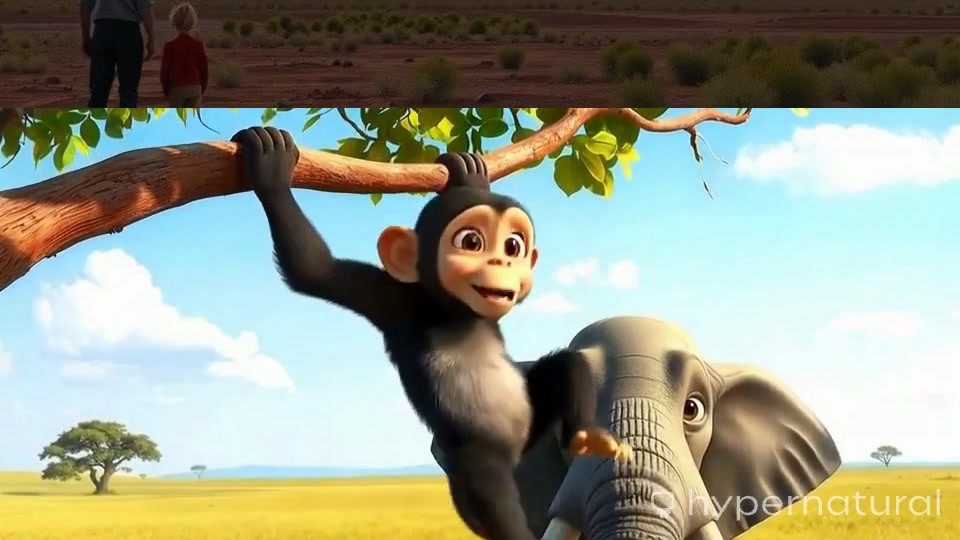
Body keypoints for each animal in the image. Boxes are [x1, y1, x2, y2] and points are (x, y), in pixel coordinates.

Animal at [232, 126, 632, 540]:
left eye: (514, 245)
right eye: (471, 242)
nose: (503, 261)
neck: (456, 313)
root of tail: (516, 453)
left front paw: (472, 177)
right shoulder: (390, 298)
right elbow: (312, 270)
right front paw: (272, 170)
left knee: (564, 364)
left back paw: (588, 435)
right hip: (472, 457)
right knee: (489, 487)